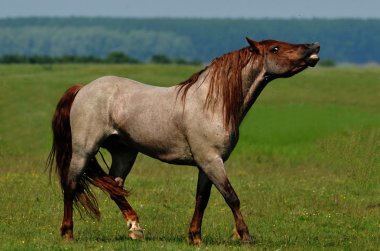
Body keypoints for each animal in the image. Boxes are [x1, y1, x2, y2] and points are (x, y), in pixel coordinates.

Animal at [48, 37, 320, 245]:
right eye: (275, 48)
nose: (313, 46)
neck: (212, 103)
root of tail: (83, 88)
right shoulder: (211, 161)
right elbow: (231, 197)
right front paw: (245, 236)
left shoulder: (206, 164)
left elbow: (202, 199)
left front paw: (195, 237)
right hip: (83, 151)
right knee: (71, 185)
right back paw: (68, 233)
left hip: (124, 153)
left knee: (115, 187)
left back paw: (136, 229)